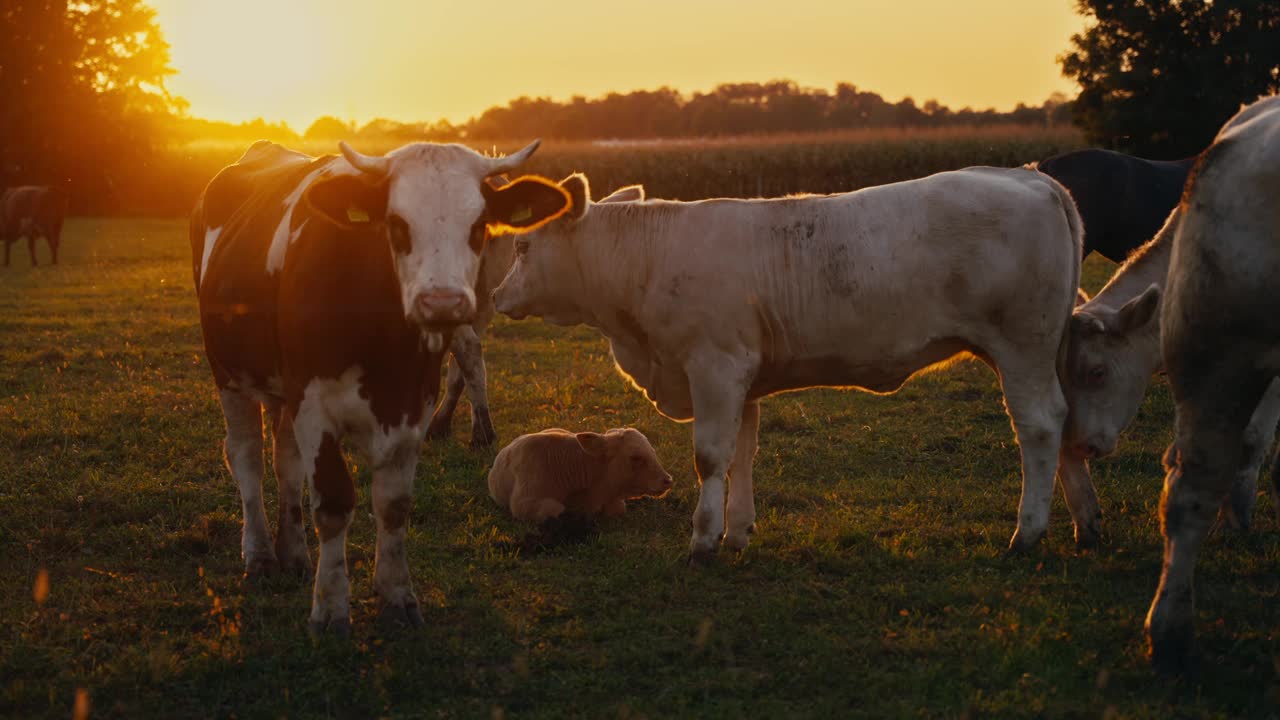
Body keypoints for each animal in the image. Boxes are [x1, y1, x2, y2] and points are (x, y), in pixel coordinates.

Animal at [190, 137, 570, 630]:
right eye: (396, 224)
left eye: (479, 224)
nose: (442, 303)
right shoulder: (314, 405)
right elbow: (333, 503)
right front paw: (331, 609)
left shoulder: (411, 404)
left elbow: (394, 504)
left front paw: (396, 597)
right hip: (229, 375)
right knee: (247, 458)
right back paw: (259, 556)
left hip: (281, 392)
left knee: (285, 461)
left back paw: (293, 554)